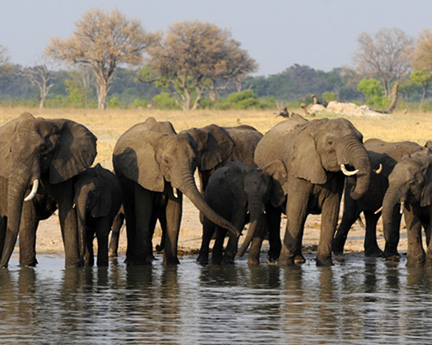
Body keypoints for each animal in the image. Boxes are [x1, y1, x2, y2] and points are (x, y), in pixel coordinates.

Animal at [0, 112, 97, 266]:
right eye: (11, 151)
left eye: (42, 149)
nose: (3, 266)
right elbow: (29, 215)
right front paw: (27, 266)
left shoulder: (65, 168)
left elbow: (67, 213)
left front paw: (73, 267)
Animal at [111, 117, 240, 264]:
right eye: (166, 161)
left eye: (194, 160)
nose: (238, 232)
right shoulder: (145, 170)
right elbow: (144, 210)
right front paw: (140, 265)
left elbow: (174, 212)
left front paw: (172, 264)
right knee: (131, 212)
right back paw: (131, 261)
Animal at [256, 114, 372, 264]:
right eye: (330, 143)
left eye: (361, 138)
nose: (352, 187)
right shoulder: (298, 170)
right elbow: (296, 211)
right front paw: (284, 264)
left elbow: (331, 214)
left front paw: (325, 264)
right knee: (275, 214)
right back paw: (274, 259)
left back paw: (299, 260)